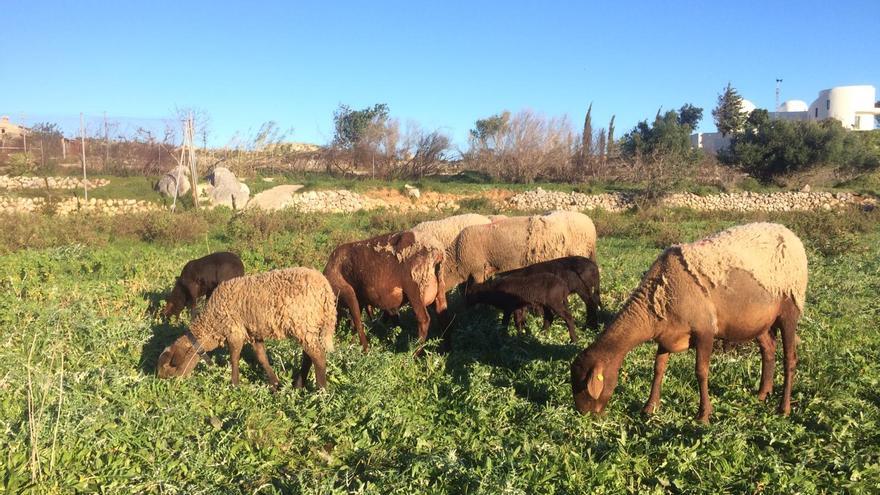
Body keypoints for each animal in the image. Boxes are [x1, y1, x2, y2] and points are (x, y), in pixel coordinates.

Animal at [158, 268, 336, 392]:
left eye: (169, 367)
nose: (165, 384)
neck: (211, 325)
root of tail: (325, 288)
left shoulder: (234, 330)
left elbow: (234, 358)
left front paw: (235, 384)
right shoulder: (253, 333)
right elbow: (262, 358)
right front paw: (275, 383)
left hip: (302, 323)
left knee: (318, 356)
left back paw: (321, 391)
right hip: (307, 327)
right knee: (309, 356)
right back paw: (299, 386)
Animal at [568, 224, 808, 422]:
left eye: (583, 387)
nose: (584, 414)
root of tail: (790, 234)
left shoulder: (705, 331)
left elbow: (701, 372)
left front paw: (703, 415)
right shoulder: (666, 335)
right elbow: (658, 368)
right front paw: (649, 407)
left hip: (789, 309)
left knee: (790, 359)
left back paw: (784, 408)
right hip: (760, 321)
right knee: (768, 350)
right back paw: (761, 394)